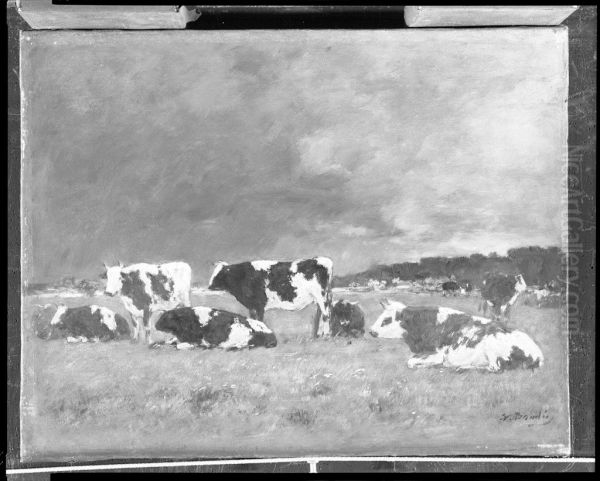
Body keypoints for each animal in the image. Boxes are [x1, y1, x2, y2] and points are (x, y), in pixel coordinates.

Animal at [368, 298, 540, 374]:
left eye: (386, 319)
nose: (370, 331)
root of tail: (538, 354)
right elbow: (411, 360)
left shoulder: (437, 353)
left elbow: (410, 362)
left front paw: (429, 365)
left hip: (492, 346)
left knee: (495, 368)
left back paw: (460, 367)